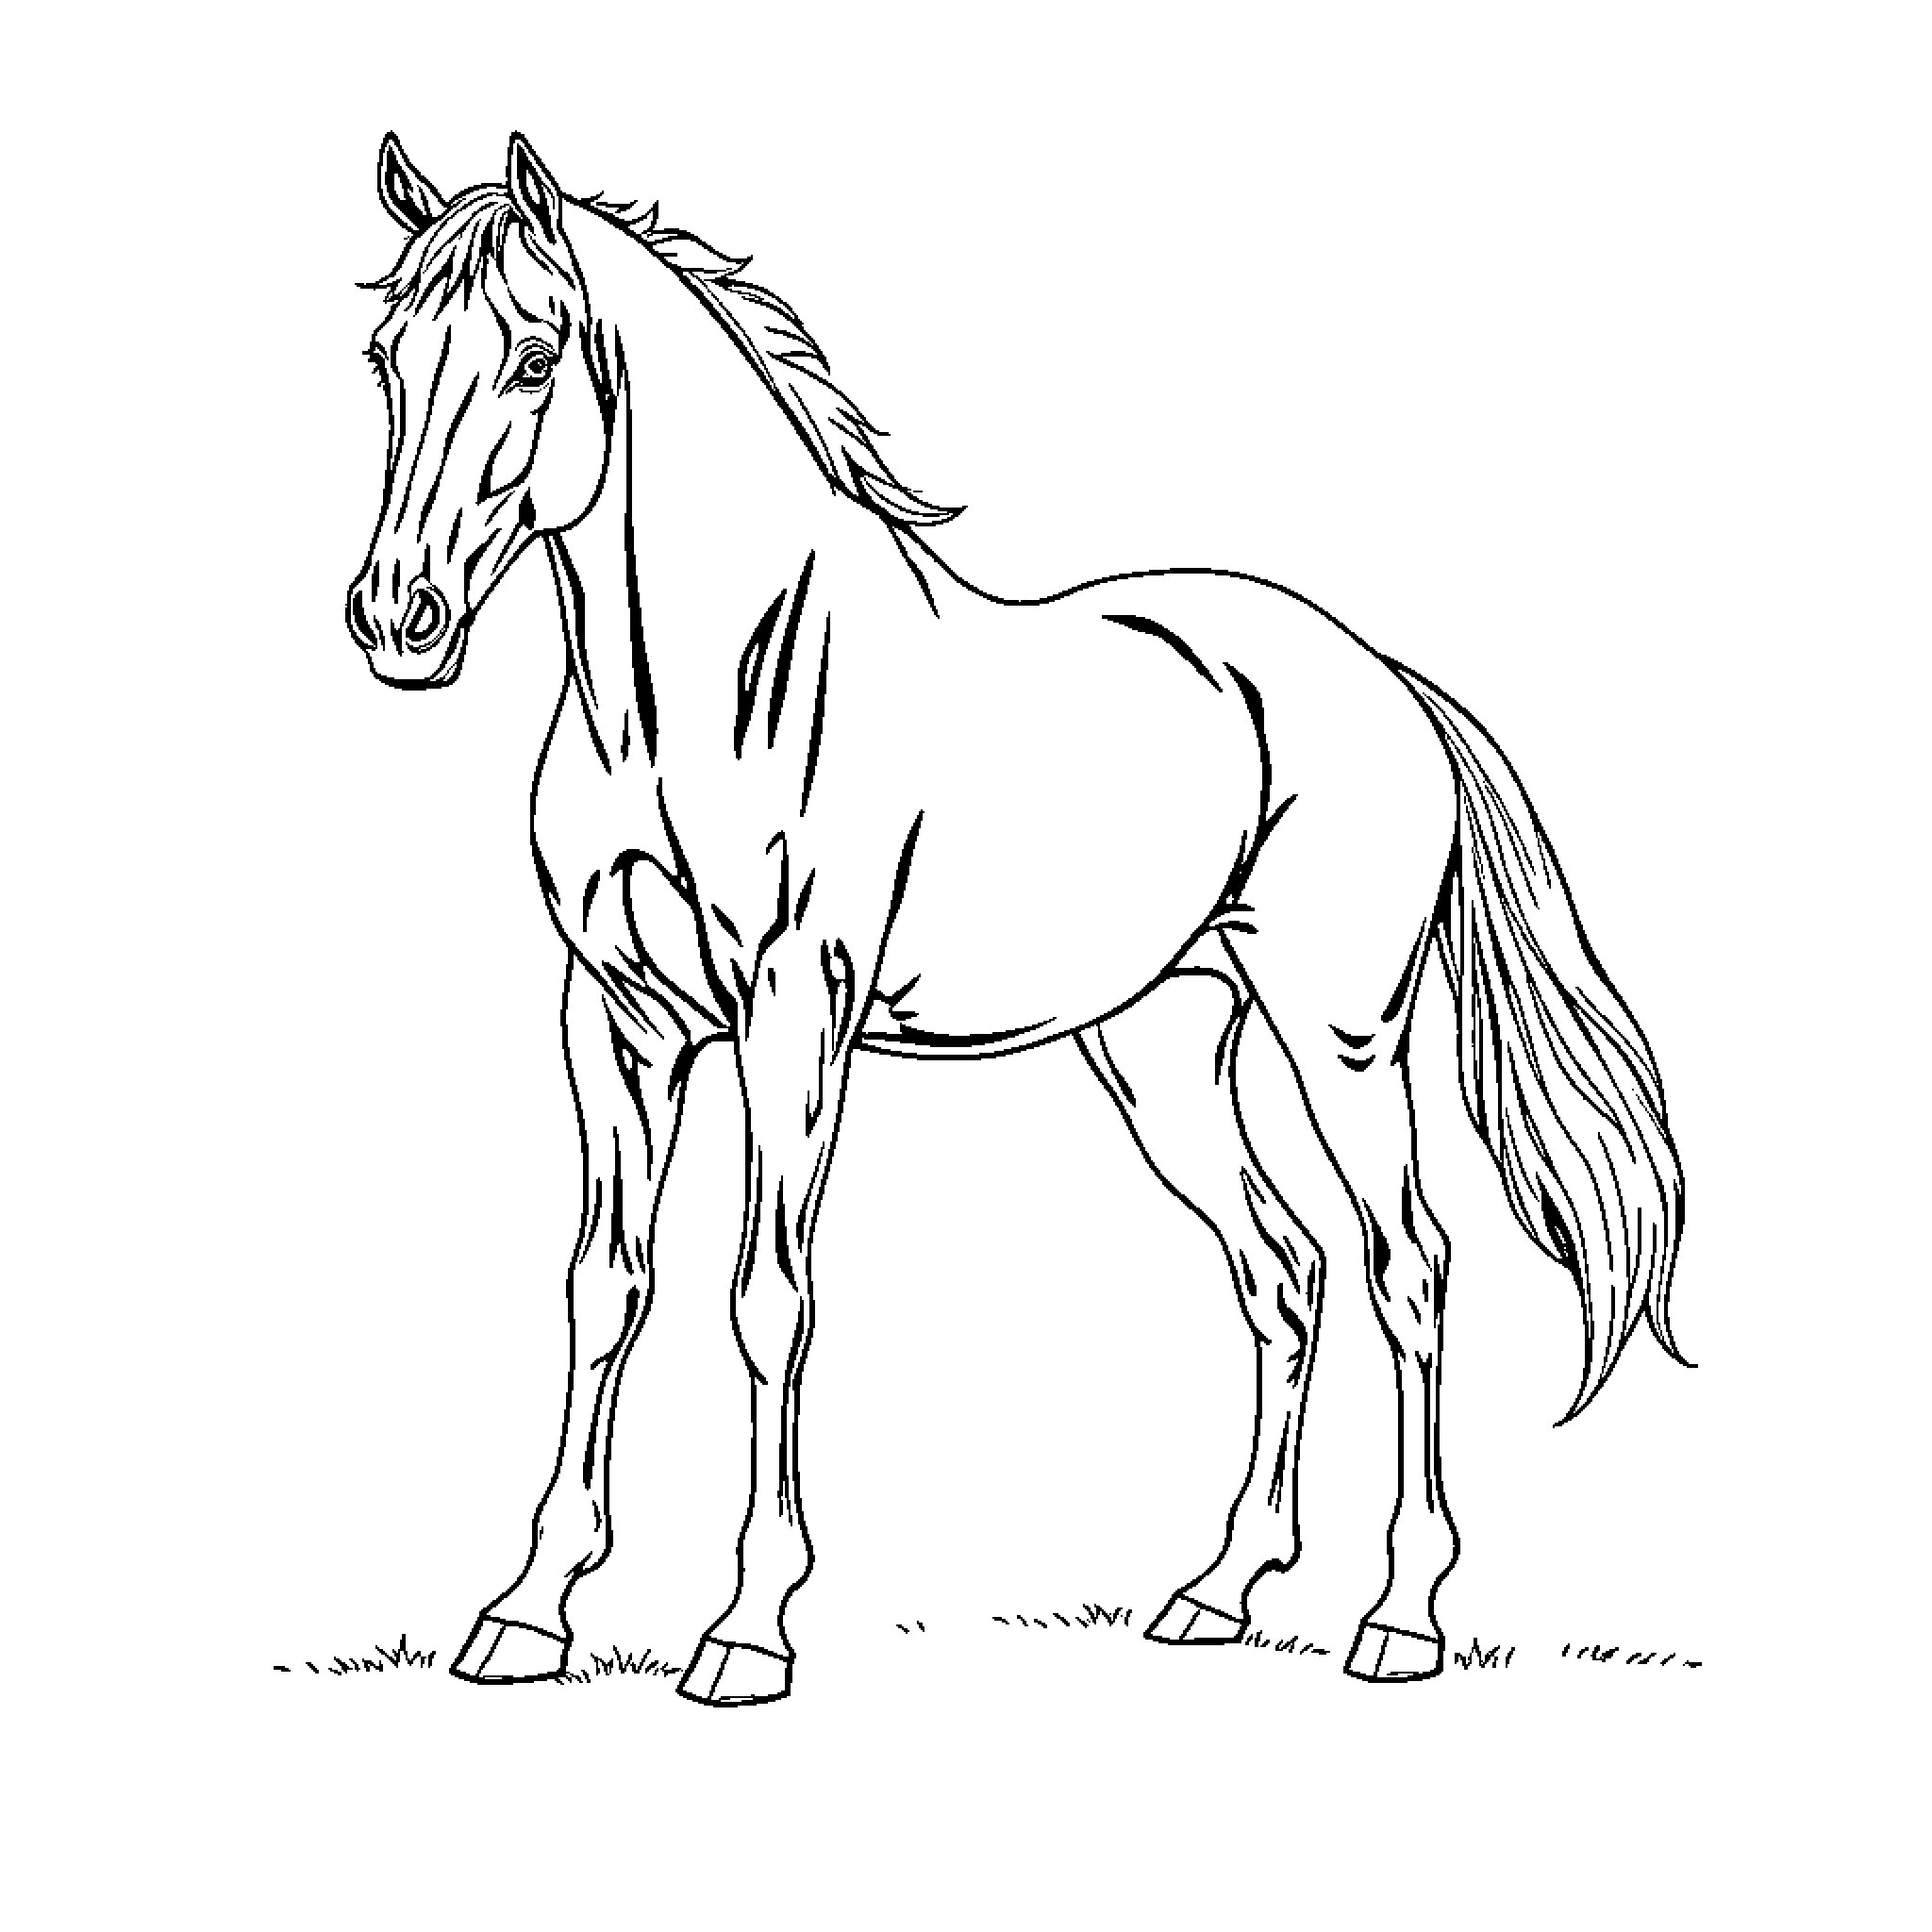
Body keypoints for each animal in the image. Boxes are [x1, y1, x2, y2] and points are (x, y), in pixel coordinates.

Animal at [344, 133, 1687, 1703]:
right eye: (385, 355)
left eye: (536, 355)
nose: (395, 616)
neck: (696, 703)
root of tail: (1383, 678)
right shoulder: (618, 1023)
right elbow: (604, 1288)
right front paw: (528, 1612)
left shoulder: (794, 1018)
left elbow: (767, 1299)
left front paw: (747, 1629)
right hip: (1165, 1054)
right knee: (1284, 1275)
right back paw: (1219, 1589)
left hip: (1342, 1039)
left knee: (1406, 1269)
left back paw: (1400, 1616)